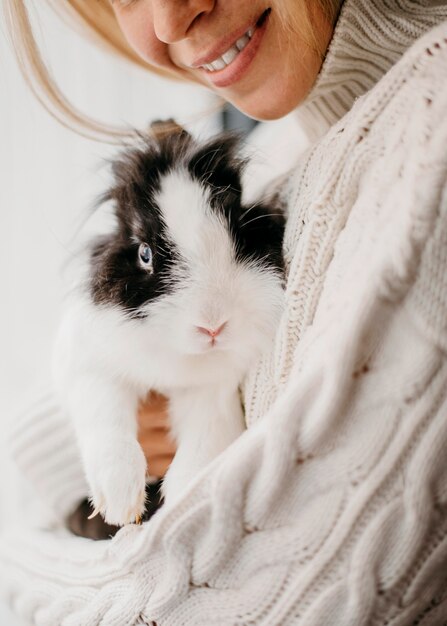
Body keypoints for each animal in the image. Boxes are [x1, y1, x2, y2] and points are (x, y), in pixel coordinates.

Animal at [52, 124, 284, 524]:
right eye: (145, 254)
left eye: (239, 234)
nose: (212, 326)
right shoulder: (91, 369)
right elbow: (107, 420)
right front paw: (119, 502)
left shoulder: (212, 392)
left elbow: (203, 443)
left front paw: (181, 503)